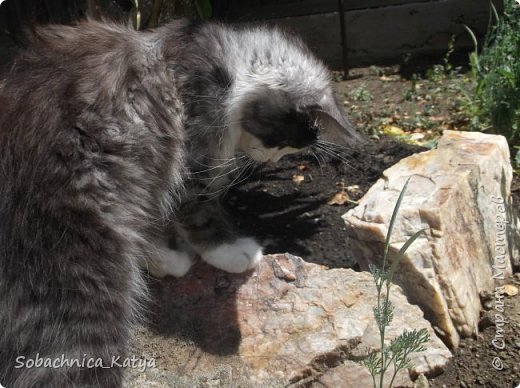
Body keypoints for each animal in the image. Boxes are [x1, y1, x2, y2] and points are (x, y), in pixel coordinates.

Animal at [0, 17, 358, 384]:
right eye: (280, 140)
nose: (271, 162)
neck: (220, 66)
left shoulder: (152, 176)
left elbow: (153, 219)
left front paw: (161, 257)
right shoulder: (191, 159)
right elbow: (200, 215)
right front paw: (231, 252)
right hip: (80, 278)